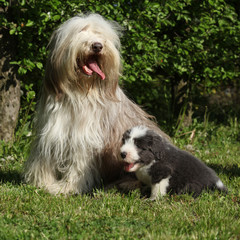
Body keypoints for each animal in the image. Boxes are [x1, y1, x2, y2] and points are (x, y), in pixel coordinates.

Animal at [23, 13, 169, 195]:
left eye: (100, 34)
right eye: (81, 31)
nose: (97, 46)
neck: (79, 91)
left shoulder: (84, 137)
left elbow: (78, 163)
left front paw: (66, 187)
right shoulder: (52, 129)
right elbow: (44, 156)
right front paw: (41, 182)